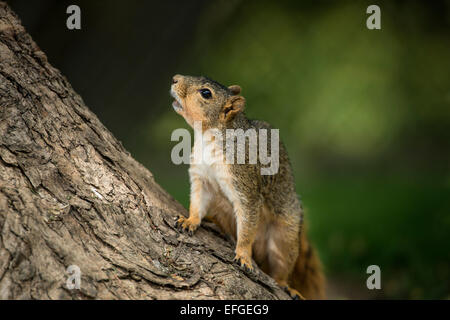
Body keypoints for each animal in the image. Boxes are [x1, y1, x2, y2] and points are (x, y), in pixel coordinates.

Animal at [171, 75, 326, 300]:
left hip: (285, 236)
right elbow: (197, 203)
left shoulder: (245, 184)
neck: (208, 138)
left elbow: (247, 223)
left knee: (281, 268)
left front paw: (243, 255)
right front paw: (190, 221)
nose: (175, 79)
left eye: (206, 93)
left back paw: (286, 285)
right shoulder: (201, 178)